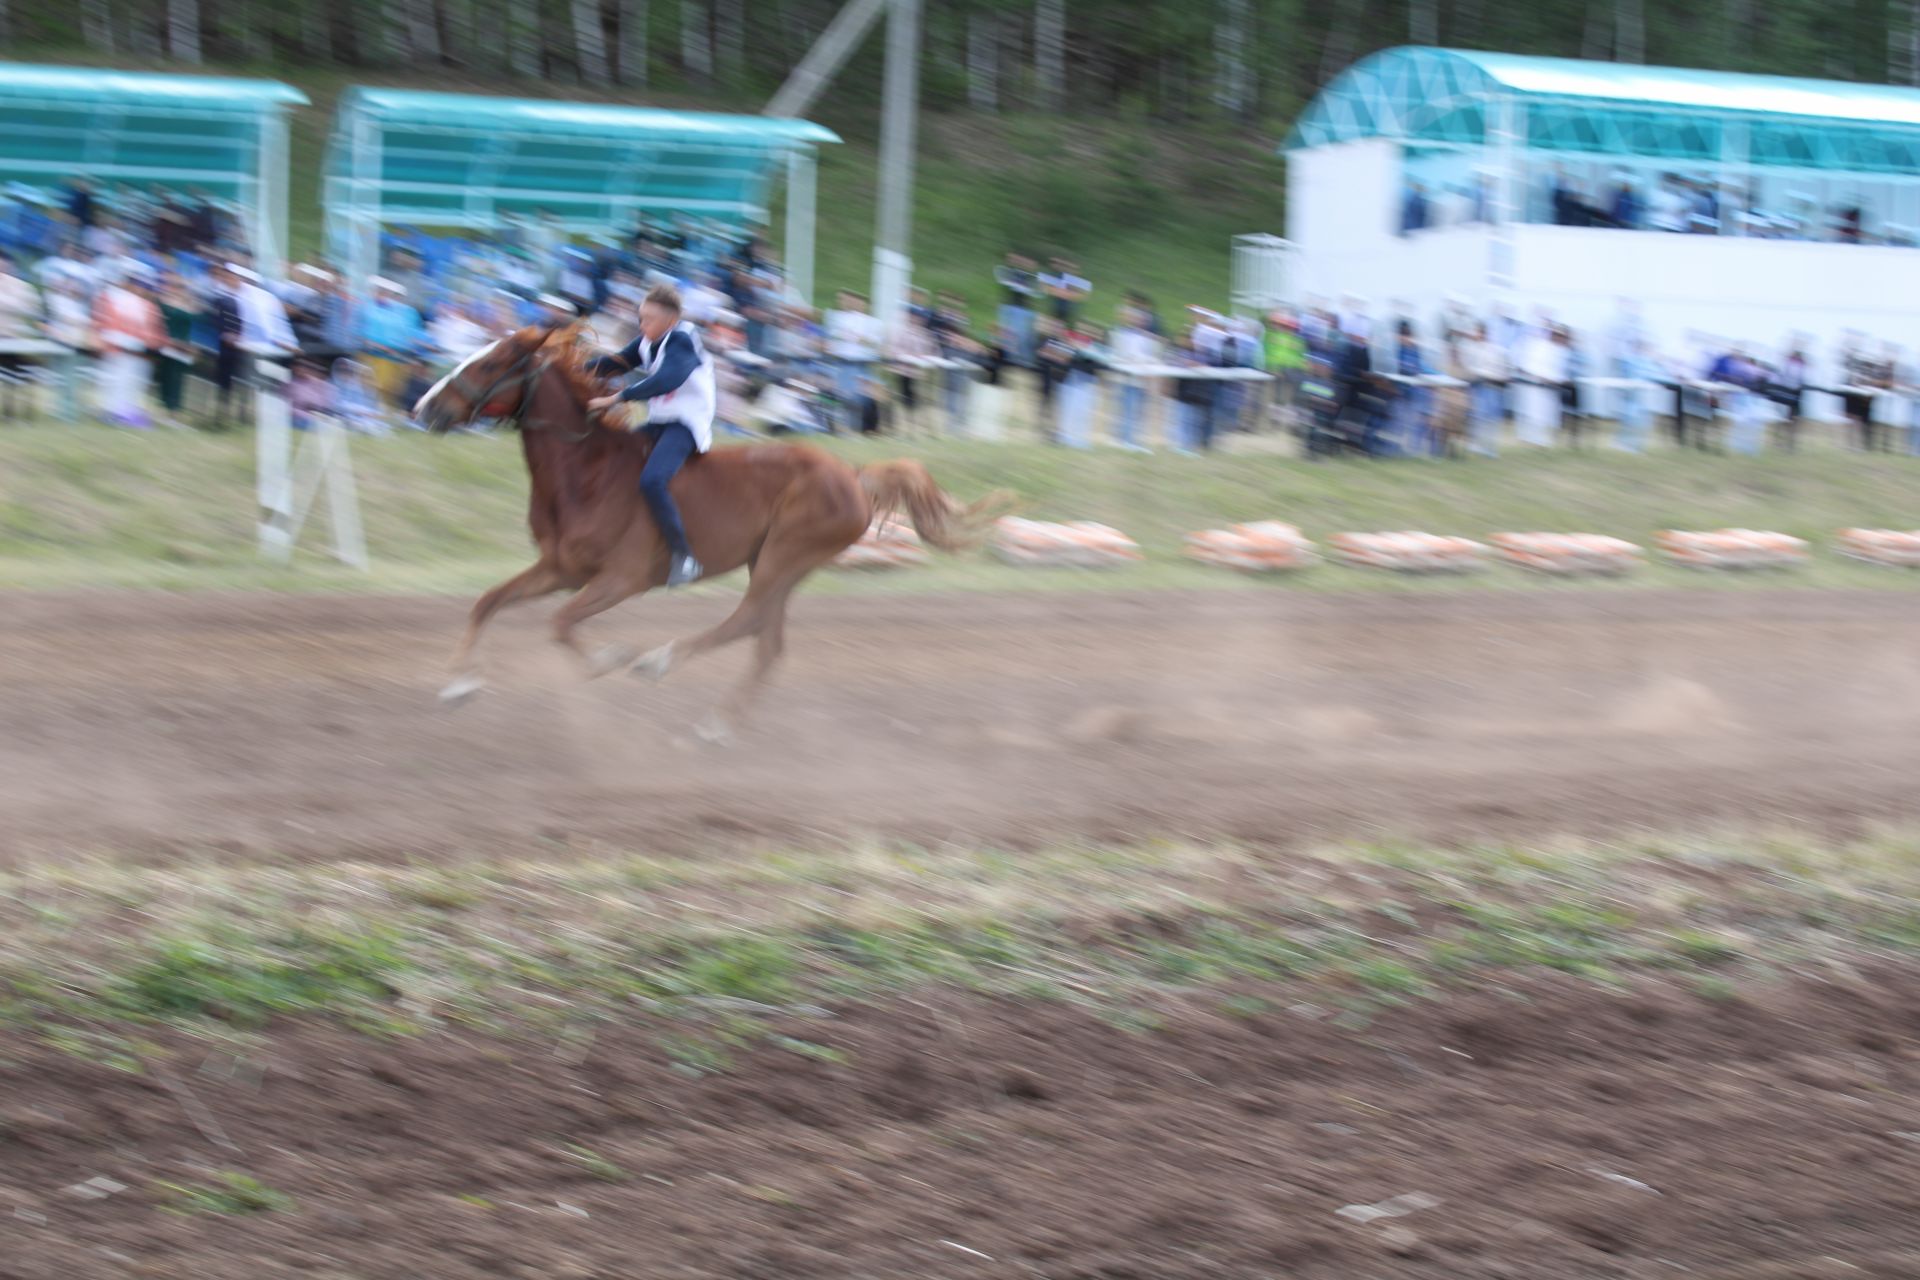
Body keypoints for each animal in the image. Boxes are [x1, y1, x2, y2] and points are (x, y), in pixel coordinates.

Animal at [418, 326, 1006, 736]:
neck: (585, 470)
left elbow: (560, 622)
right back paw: (718, 722)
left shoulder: (622, 578)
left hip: (785, 555)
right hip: (774, 562)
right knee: (766, 640)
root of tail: (853, 475)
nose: (425, 406)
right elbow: (489, 602)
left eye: (493, 361)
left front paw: (610, 659)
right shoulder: (560, 568)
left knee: (747, 621)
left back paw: (662, 663)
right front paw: (459, 683)